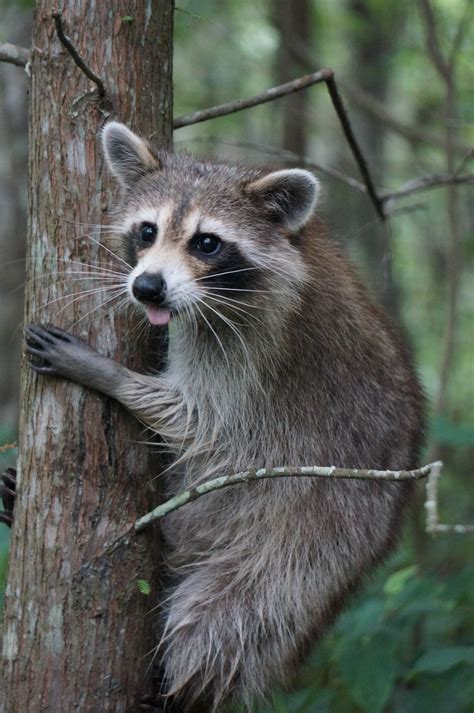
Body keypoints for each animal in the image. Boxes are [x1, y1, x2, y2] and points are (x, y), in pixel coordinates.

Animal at [25, 124, 424, 712]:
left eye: (206, 242)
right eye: (147, 231)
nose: (146, 287)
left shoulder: (252, 343)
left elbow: (199, 418)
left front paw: (106, 373)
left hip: (300, 549)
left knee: (216, 626)